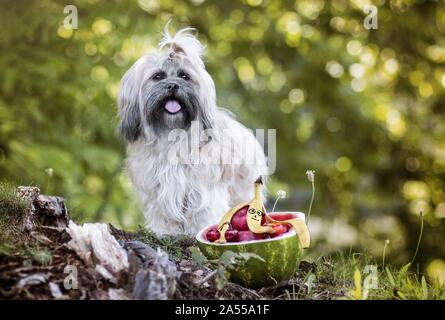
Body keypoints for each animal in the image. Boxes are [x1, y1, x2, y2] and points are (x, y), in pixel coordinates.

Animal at [117, 26, 268, 235]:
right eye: (158, 76)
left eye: (184, 76)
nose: (172, 85)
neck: (172, 134)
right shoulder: (156, 186)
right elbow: (161, 212)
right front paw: (165, 231)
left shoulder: (203, 186)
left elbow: (202, 209)